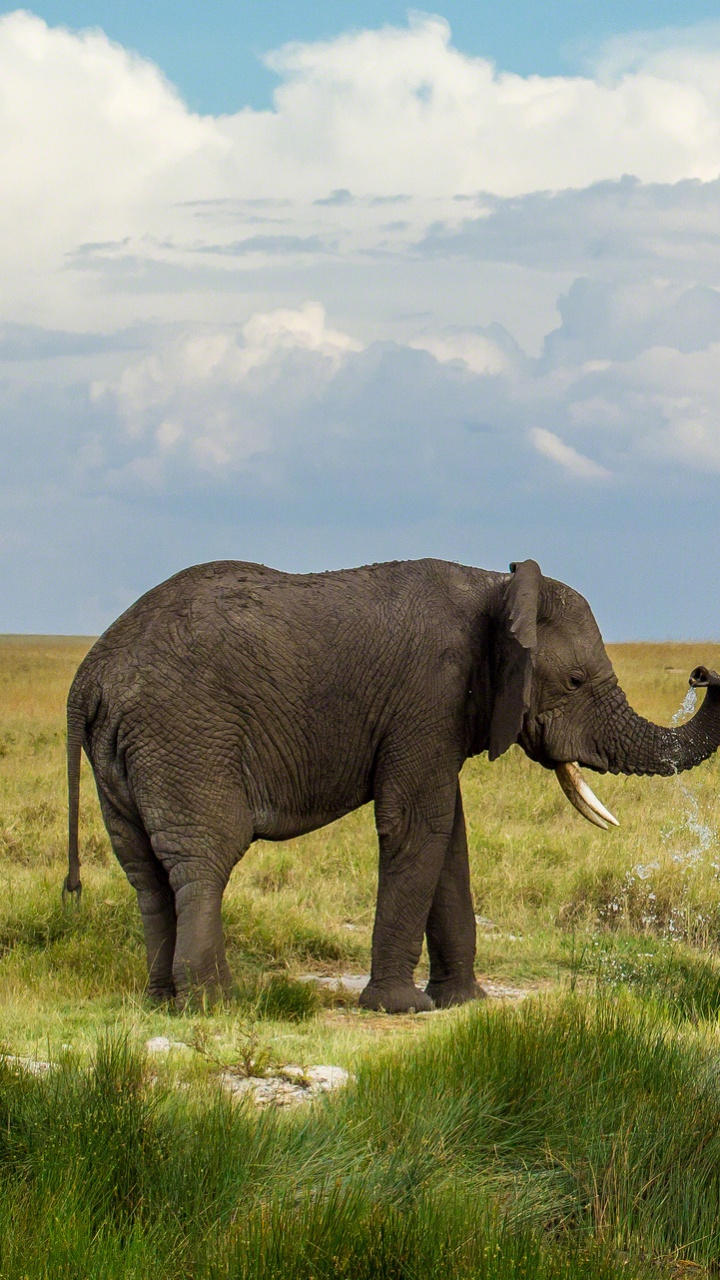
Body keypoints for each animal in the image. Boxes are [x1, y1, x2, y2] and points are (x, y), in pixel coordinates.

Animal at [64, 557, 720, 1013]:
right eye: (577, 680)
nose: (702, 672)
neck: (495, 586)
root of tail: (89, 677)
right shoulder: (427, 697)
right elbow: (416, 825)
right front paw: (401, 1008)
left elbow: (448, 837)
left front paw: (462, 1002)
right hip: (186, 736)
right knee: (204, 859)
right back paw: (217, 1004)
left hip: (123, 754)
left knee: (145, 871)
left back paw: (161, 1001)